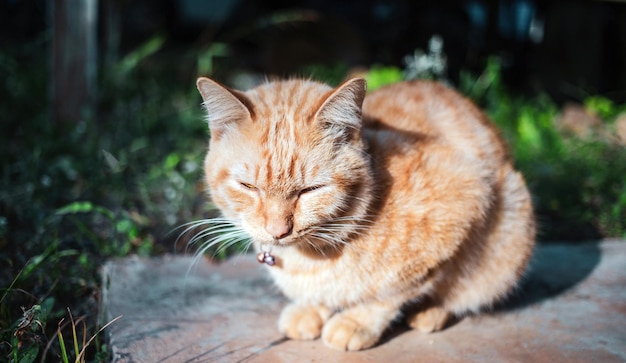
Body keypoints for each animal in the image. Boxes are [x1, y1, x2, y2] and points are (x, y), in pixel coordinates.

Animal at [194, 77, 532, 352]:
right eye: (248, 187)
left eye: (310, 190)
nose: (278, 231)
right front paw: (311, 307)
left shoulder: (466, 199)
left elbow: (393, 293)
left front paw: (357, 321)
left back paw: (430, 312)